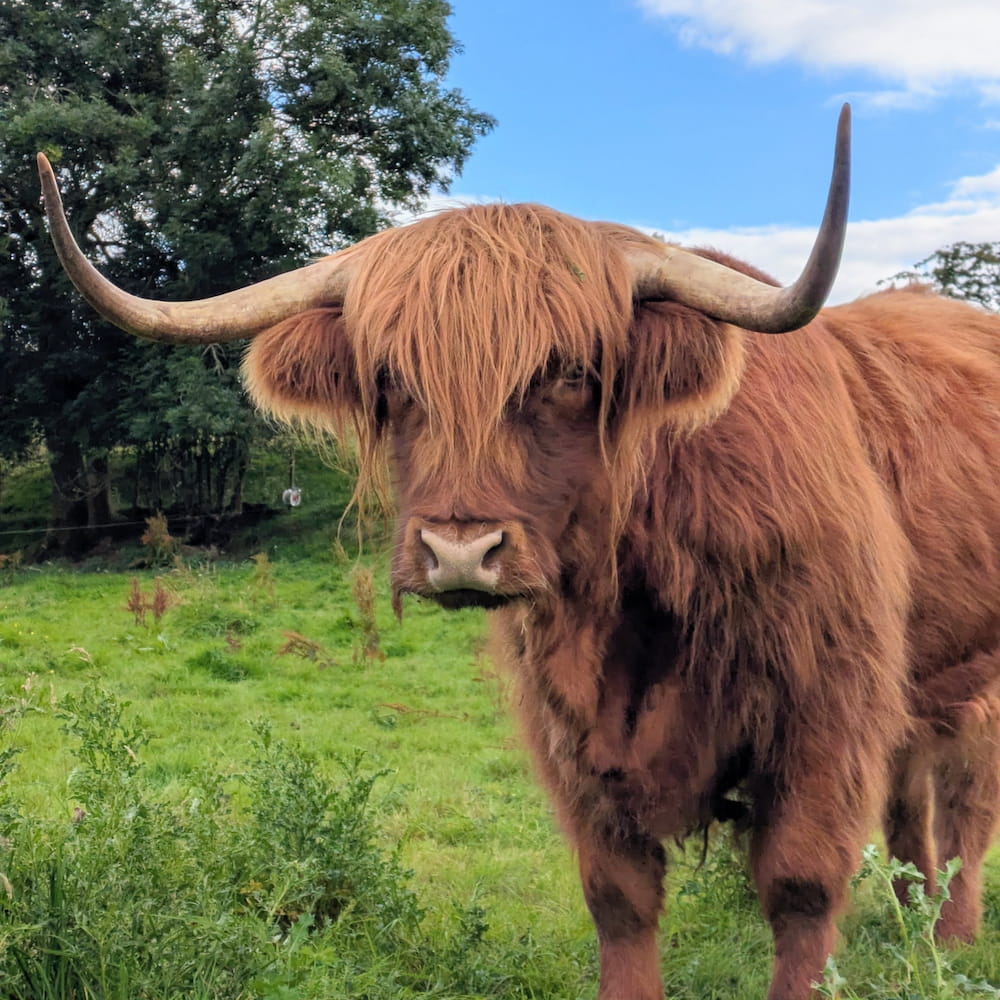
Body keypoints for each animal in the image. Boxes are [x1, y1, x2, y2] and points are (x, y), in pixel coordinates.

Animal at [37, 104, 1000, 1000]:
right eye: (392, 380)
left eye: (569, 373)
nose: (461, 552)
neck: (636, 597)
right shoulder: (571, 732)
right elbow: (617, 897)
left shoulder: (826, 707)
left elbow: (801, 886)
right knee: (911, 797)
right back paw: (913, 921)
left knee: (963, 800)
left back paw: (950, 937)